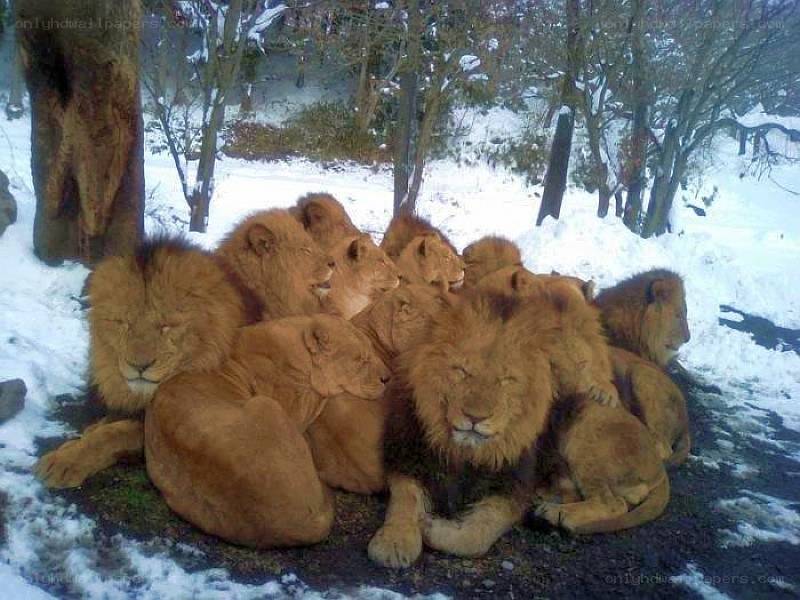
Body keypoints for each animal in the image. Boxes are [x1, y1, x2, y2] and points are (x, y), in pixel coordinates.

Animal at [146, 313, 390, 548]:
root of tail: (304, 526)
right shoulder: (296, 408)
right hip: (266, 405)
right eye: (361, 360)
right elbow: (323, 393)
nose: (387, 378)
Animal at [368, 288, 619, 567]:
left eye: (506, 380)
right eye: (462, 371)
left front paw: (431, 527)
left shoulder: (512, 487)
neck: (466, 454)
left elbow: (477, 535)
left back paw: (559, 513)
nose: (475, 417)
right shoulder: (408, 459)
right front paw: (393, 542)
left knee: (613, 501)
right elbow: (404, 501)